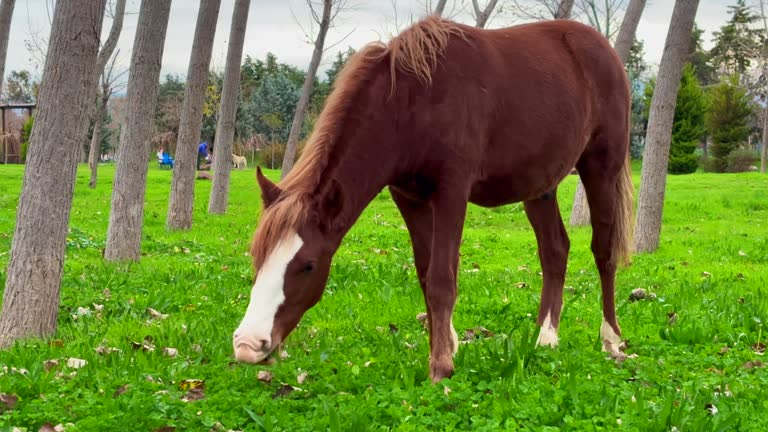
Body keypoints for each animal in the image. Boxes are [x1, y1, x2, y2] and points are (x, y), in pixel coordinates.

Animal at [237, 16, 632, 382]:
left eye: (308, 265)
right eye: (257, 256)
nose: (247, 345)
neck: (413, 101)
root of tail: (603, 50)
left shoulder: (452, 192)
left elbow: (443, 278)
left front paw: (441, 365)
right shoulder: (408, 197)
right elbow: (426, 275)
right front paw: (448, 346)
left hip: (601, 168)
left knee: (604, 250)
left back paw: (611, 339)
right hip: (541, 186)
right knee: (554, 250)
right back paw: (545, 337)